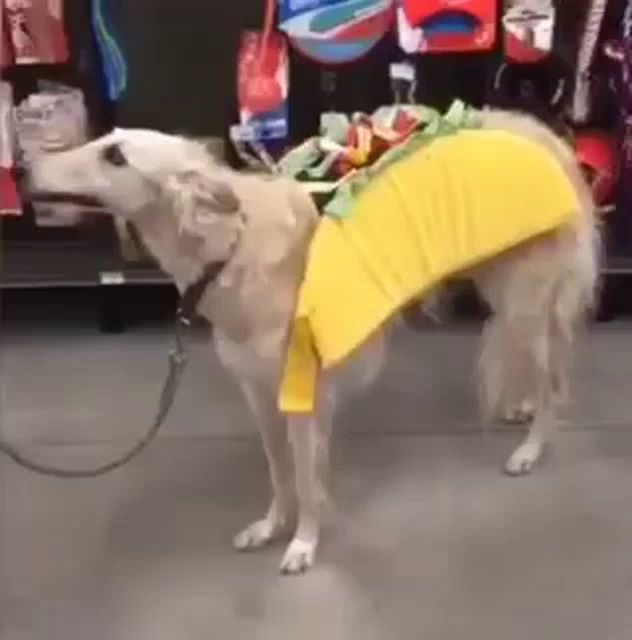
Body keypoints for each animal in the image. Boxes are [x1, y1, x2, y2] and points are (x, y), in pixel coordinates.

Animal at [24, 110, 596, 576]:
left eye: (115, 155)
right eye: (105, 139)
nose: (24, 167)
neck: (233, 243)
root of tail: (543, 134)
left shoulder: (301, 392)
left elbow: (303, 477)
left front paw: (303, 544)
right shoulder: (257, 392)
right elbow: (279, 471)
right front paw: (271, 527)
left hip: (522, 301)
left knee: (556, 383)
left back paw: (530, 449)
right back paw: (521, 408)